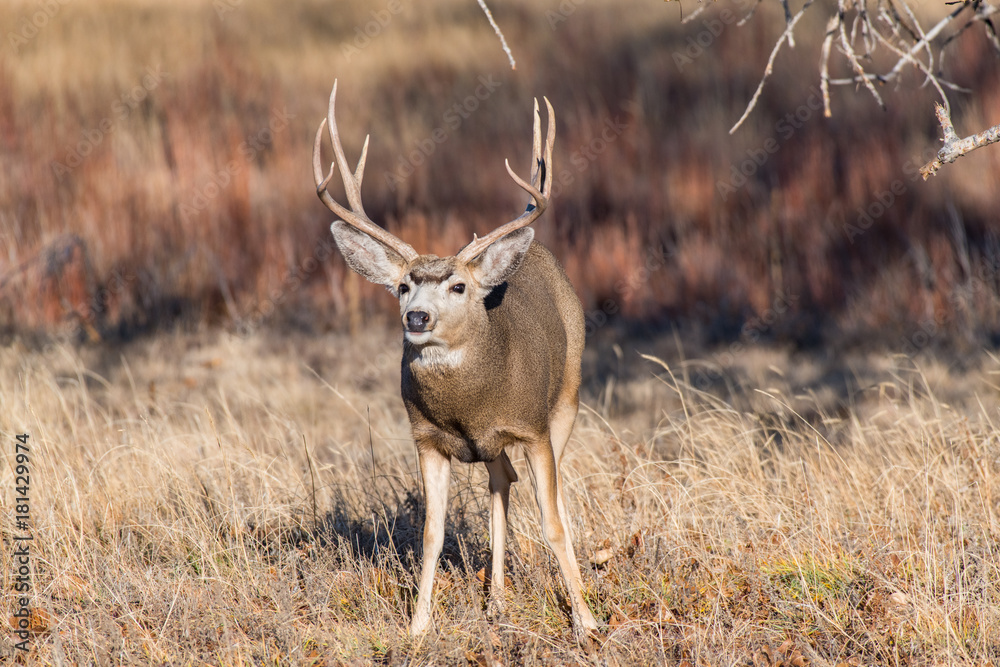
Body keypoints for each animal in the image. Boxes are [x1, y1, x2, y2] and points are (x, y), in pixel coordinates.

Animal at [312, 81, 599, 641]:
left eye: (459, 286)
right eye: (403, 285)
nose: (417, 317)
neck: (469, 406)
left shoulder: (533, 428)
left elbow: (553, 522)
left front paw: (587, 622)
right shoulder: (425, 439)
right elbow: (431, 532)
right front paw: (418, 626)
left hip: (568, 397)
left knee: (542, 492)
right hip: (494, 446)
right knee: (500, 480)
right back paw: (496, 602)